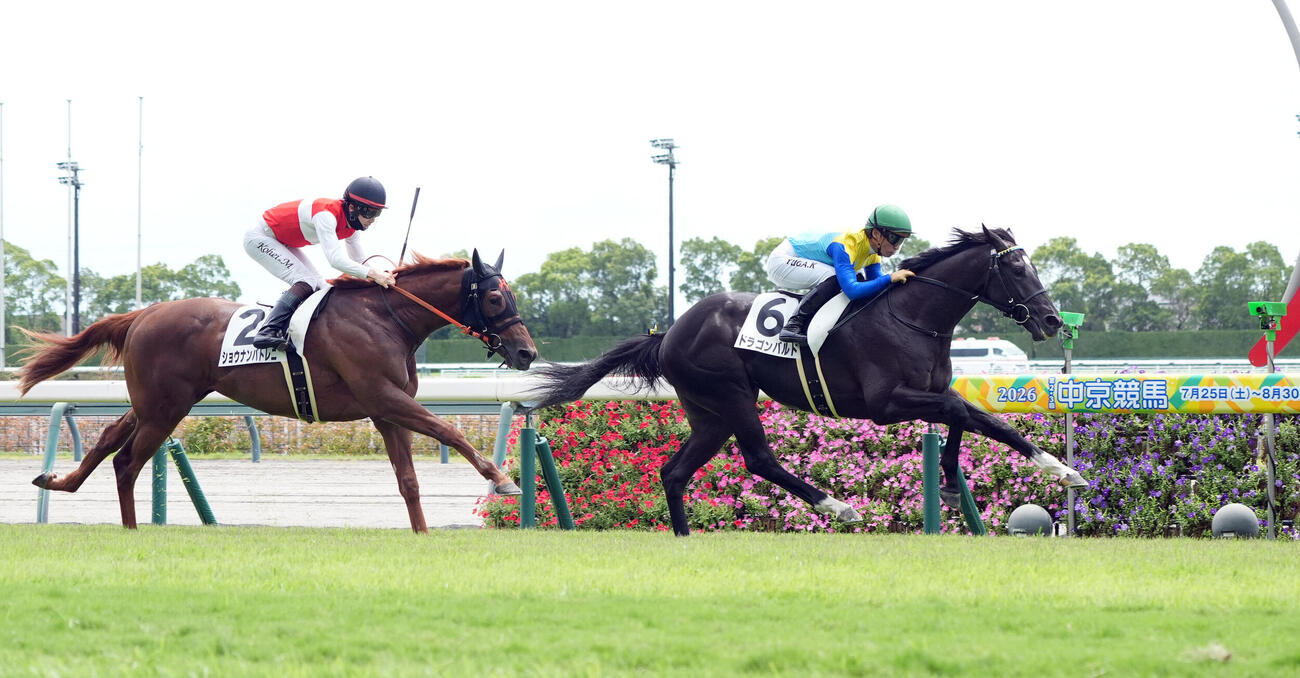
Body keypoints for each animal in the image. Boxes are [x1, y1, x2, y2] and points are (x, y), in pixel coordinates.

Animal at [19, 250, 537, 533]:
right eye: (495, 297)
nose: (527, 353)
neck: (387, 319)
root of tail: (142, 314)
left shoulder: (387, 411)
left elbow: (408, 479)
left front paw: (423, 534)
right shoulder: (384, 396)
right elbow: (450, 431)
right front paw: (502, 478)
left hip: (156, 403)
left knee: (109, 438)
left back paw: (58, 480)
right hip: (165, 408)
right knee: (127, 461)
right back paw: (129, 530)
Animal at [531, 226, 1088, 536]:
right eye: (1017, 270)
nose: (1051, 320)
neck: (912, 315)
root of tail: (670, 331)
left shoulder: (934, 391)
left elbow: (984, 421)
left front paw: (1062, 470)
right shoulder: (886, 404)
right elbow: (959, 416)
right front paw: (952, 485)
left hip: (708, 412)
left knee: (674, 471)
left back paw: (685, 537)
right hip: (732, 394)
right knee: (759, 458)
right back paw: (838, 507)